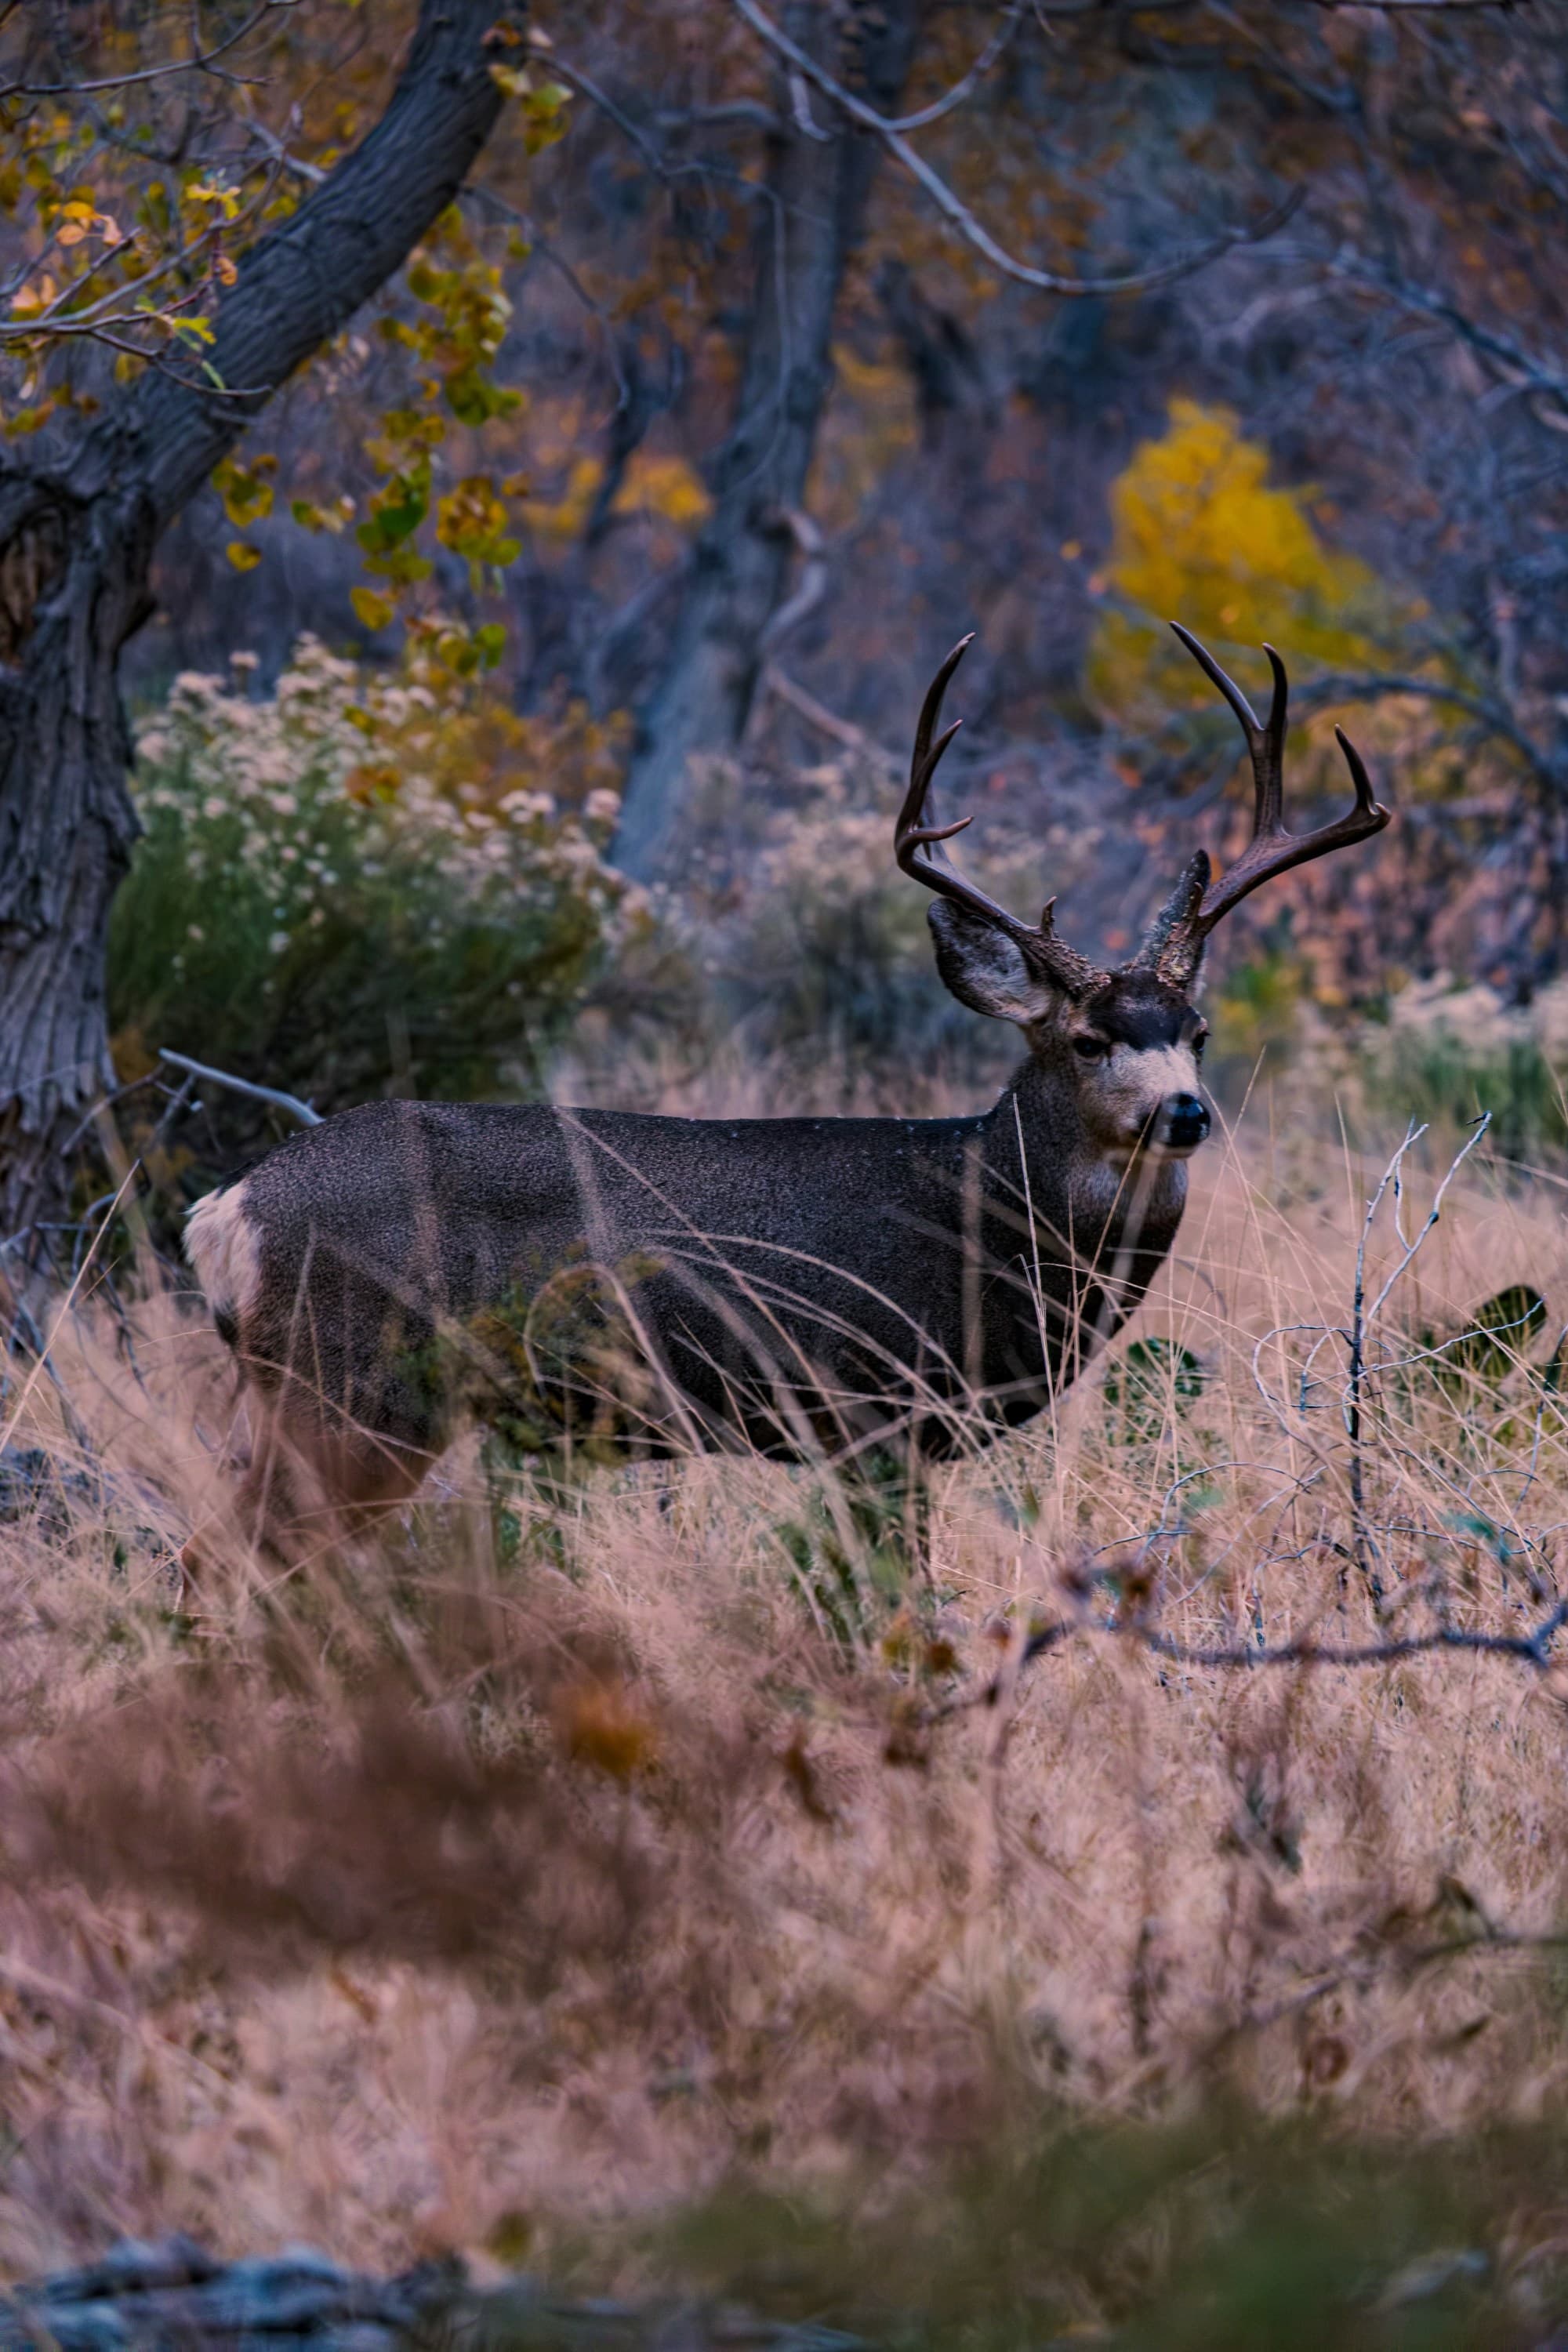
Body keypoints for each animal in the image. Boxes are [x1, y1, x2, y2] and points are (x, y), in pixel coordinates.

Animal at [183, 625, 1389, 1564]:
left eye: (1196, 1034)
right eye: (1090, 1039)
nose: (1184, 1113)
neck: (984, 1215)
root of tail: (227, 1209)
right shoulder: (875, 1412)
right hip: (357, 1385)